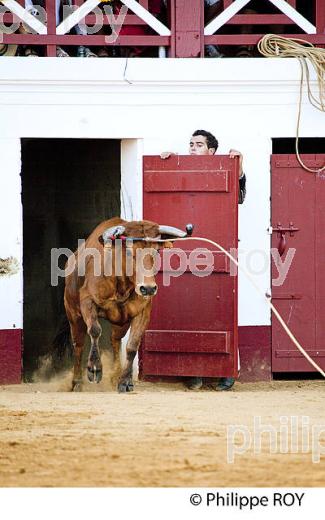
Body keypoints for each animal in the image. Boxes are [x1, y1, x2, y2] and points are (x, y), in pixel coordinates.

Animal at [62, 215, 191, 390]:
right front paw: (95, 368)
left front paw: (125, 381)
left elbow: (132, 345)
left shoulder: (143, 311)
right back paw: (77, 382)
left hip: (120, 323)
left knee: (115, 341)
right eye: (129, 252)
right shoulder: (87, 301)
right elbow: (95, 330)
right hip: (73, 314)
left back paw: (115, 375)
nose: (148, 288)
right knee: (79, 344)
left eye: (157, 251)